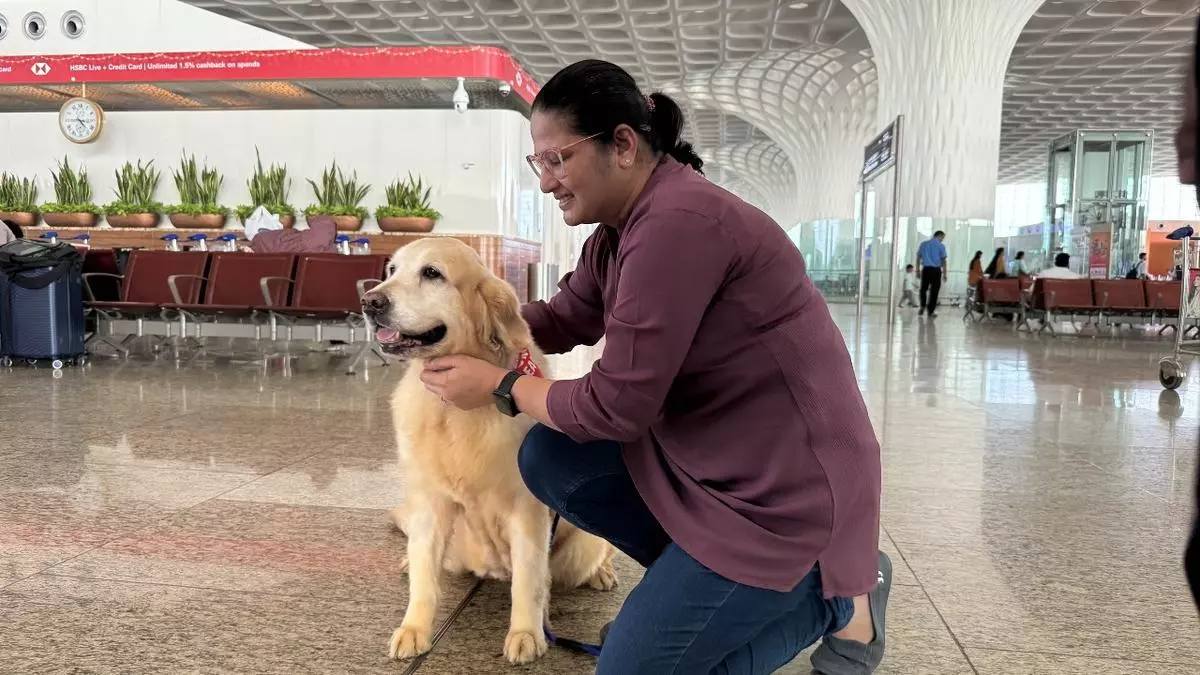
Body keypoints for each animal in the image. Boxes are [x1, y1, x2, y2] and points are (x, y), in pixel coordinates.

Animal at [357, 237, 619, 662]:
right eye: (391, 270)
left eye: (432, 273)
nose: (369, 302)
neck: (454, 410)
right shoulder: (430, 503)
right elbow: (425, 578)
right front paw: (413, 629)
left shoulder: (527, 511)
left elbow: (528, 579)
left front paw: (526, 633)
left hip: (581, 543)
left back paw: (602, 572)